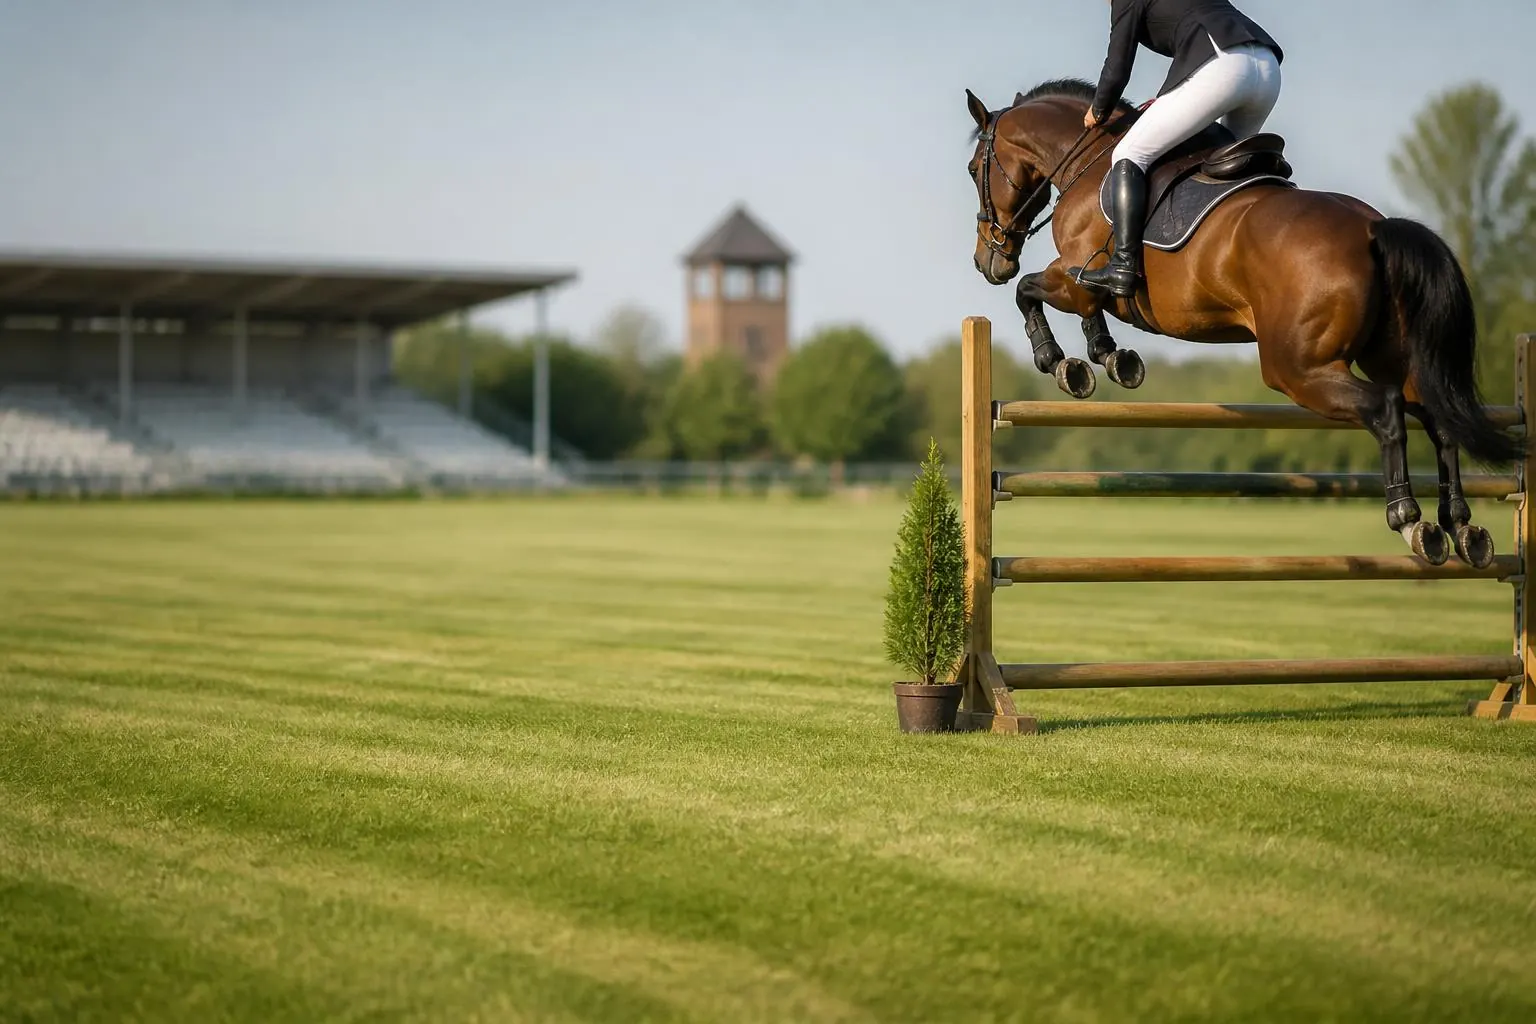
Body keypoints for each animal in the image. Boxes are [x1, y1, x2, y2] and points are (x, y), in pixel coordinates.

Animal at [964, 78, 1523, 569]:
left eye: (973, 169)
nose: (987, 262)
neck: (1090, 162)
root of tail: (1373, 228)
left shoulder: (1077, 275)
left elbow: (1031, 291)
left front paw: (1061, 363)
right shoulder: (1082, 283)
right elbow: (1080, 311)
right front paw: (1110, 358)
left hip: (1296, 368)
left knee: (1386, 411)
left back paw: (1410, 521)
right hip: (1389, 356)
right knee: (1437, 418)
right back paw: (1461, 528)